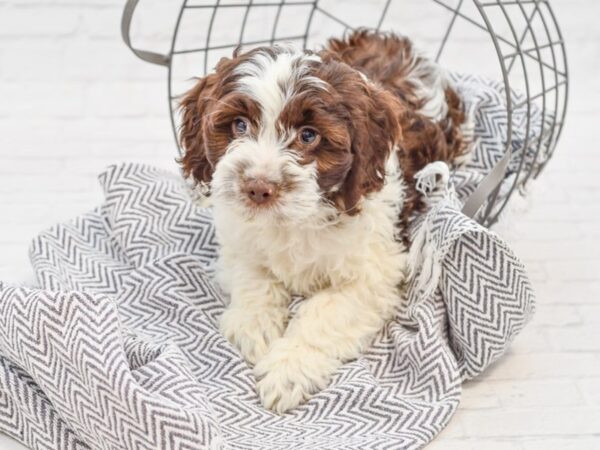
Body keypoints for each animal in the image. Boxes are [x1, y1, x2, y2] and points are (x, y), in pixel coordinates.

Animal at [178, 29, 468, 414]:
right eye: (239, 125)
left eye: (308, 135)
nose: (258, 188)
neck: (297, 217)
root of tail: (392, 39)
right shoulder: (239, 238)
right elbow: (253, 276)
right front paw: (254, 325)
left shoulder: (374, 274)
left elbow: (323, 312)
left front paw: (287, 370)